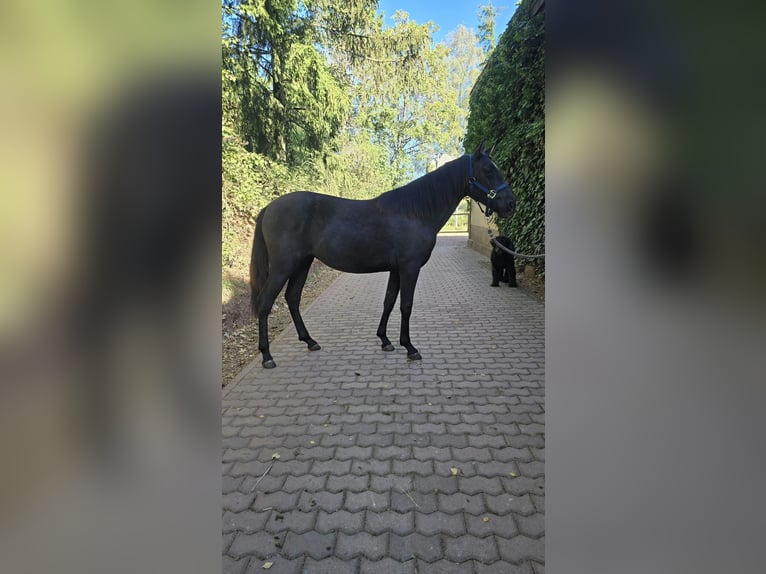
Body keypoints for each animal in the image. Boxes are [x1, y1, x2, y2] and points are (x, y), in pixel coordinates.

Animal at [249, 142, 516, 368]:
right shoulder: (409, 268)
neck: (414, 212)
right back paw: (267, 356)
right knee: (265, 302)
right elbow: (406, 305)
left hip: (302, 263)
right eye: (488, 170)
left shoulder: (396, 269)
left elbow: (389, 301)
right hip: (283, 266)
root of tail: (269, 207)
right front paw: (410, 347)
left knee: (292, 298)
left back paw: (310, 341)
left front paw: (385, 341)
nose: (510, 204)